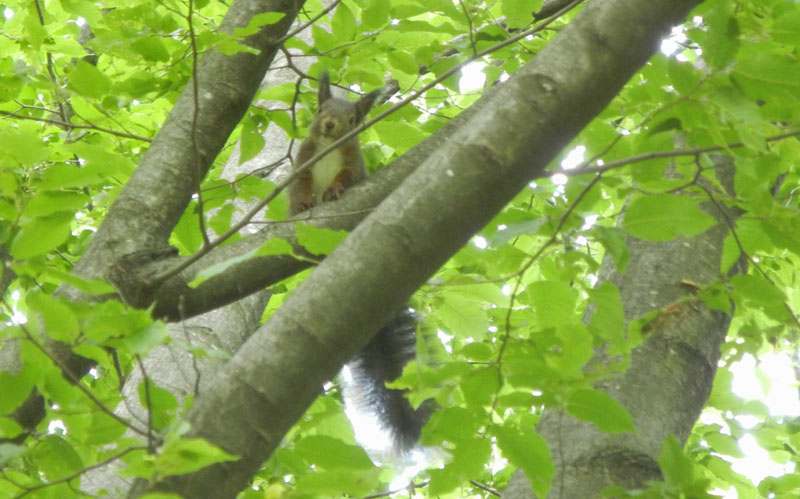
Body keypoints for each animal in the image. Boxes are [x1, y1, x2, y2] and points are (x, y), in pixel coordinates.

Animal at [290, 72, 382, 215]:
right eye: (320, 110)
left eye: (352, 120)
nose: (329, 124)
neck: (328, 145)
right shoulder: (305, 155)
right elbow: (300, 182)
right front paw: (301, 203)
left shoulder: (354, 159)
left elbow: (349, 175)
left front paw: (332, 189)